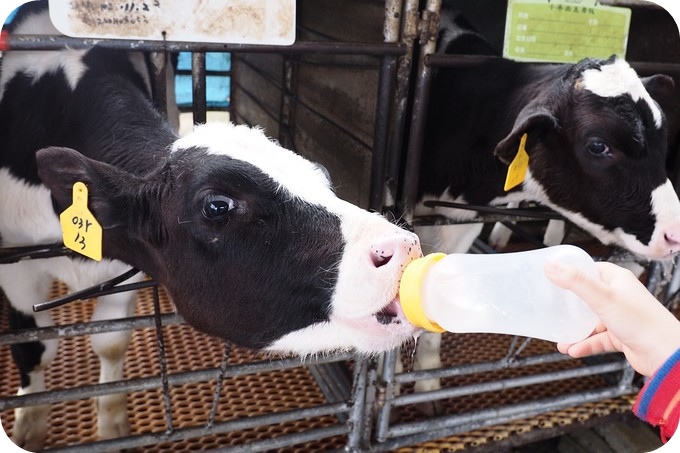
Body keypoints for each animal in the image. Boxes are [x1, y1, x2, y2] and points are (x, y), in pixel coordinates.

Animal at [0, 2, 422, 448]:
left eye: (322, 174)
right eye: (217, 206)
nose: (404, 247)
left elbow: (111, 342)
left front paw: (112, 422)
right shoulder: (15, 264)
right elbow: (33, 347)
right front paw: (29, 425)